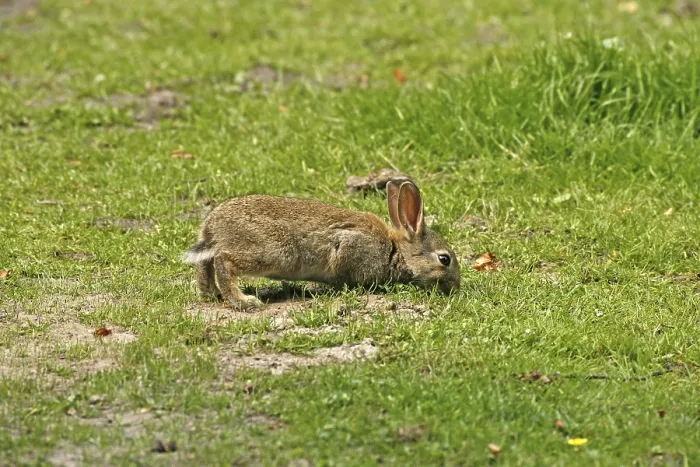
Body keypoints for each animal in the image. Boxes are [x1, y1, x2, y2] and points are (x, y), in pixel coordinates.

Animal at [183, 180, 460, 309]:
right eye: (444, 259)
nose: (456, 288)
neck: (396, 251)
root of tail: (213, 225)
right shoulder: (351, 246)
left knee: (205, 263)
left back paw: (210, 294)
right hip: (274, 252)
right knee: (223, 260)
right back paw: (243, 300)